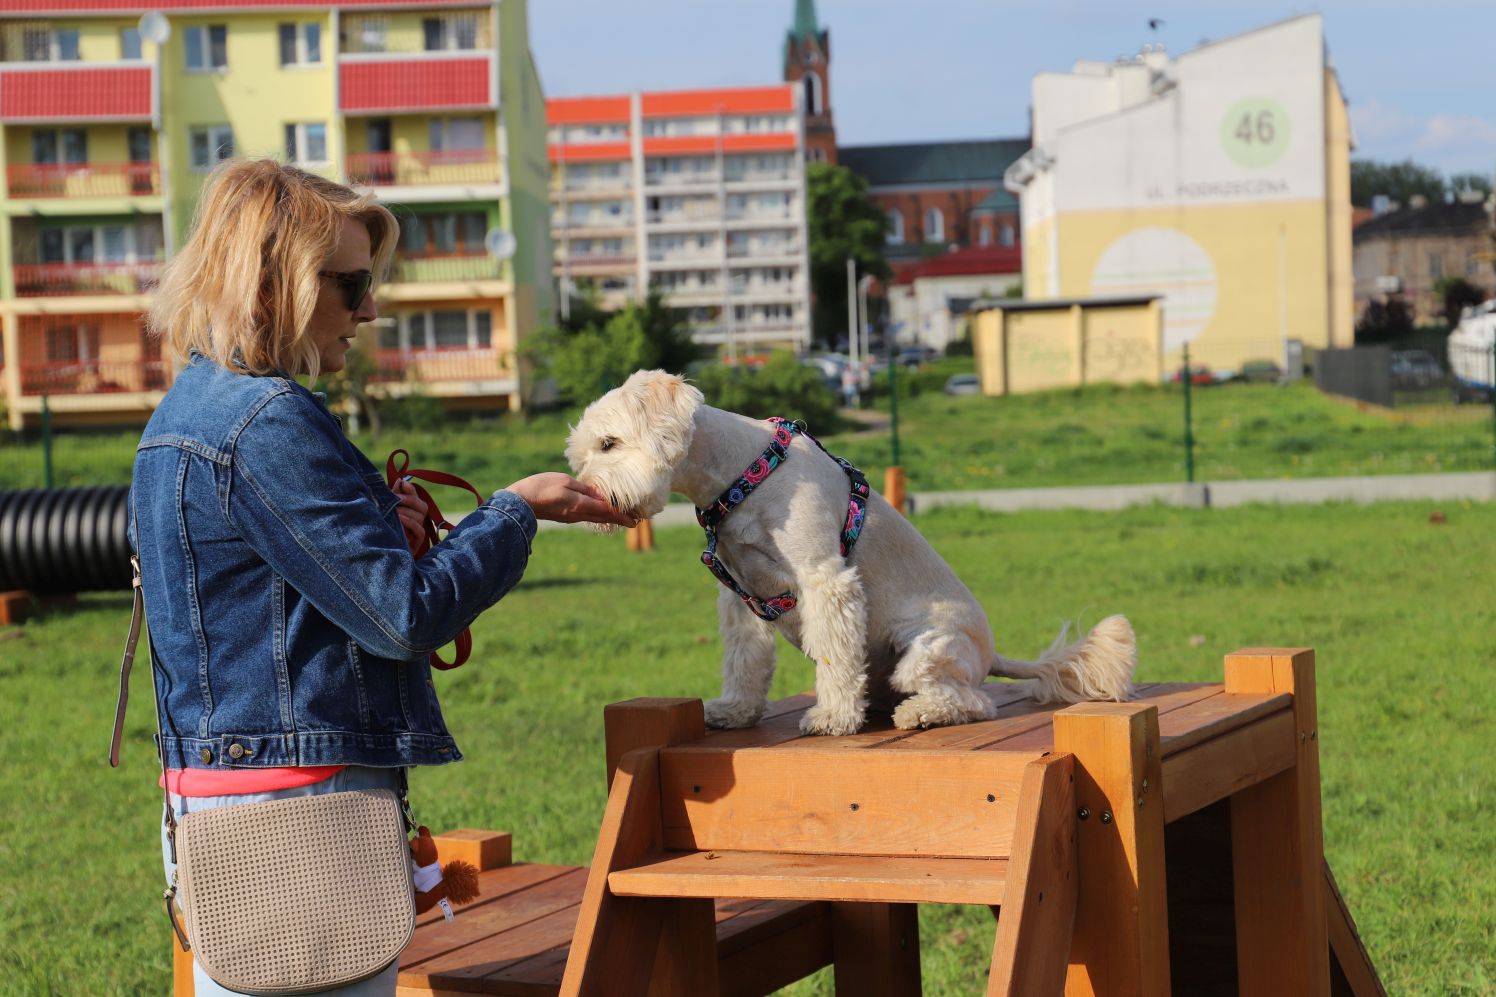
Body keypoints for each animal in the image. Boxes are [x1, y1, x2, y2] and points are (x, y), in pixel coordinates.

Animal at [565, 368, 1136, 733]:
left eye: (610, 443)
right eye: (582, 454)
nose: (588, 492)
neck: (742, 477)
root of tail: (993, 654)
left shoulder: (825, 580)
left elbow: (836, 657)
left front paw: (832, 719)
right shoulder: (742, 598)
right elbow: (745, 661)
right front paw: (736, 711)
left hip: (924, 650)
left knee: (971, 700)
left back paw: (919, 714)